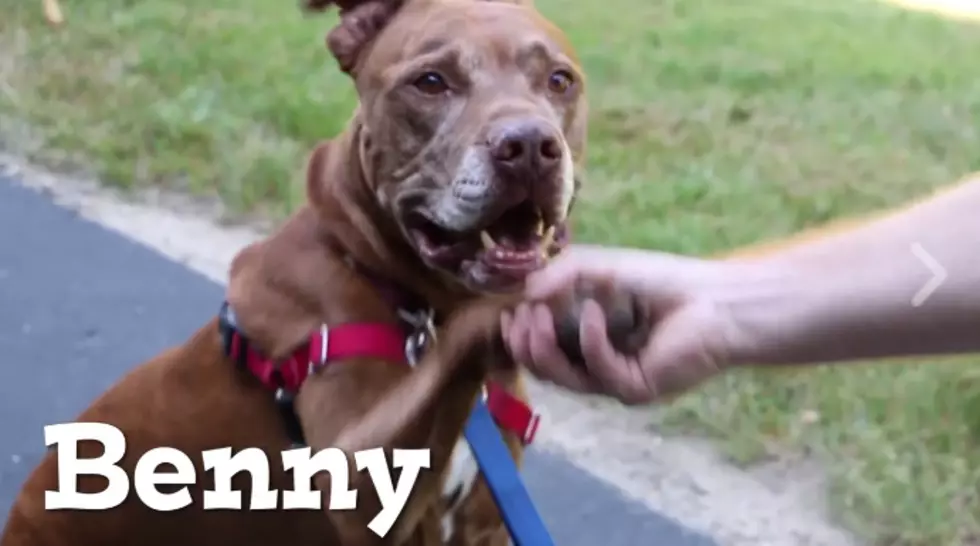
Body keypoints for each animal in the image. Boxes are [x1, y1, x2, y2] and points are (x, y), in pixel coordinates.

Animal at [3, 1, 648, 544]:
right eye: (431, 82)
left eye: (559, 81)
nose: (530, 144)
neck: (415, 300)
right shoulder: (364, 486)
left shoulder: (482, 525)